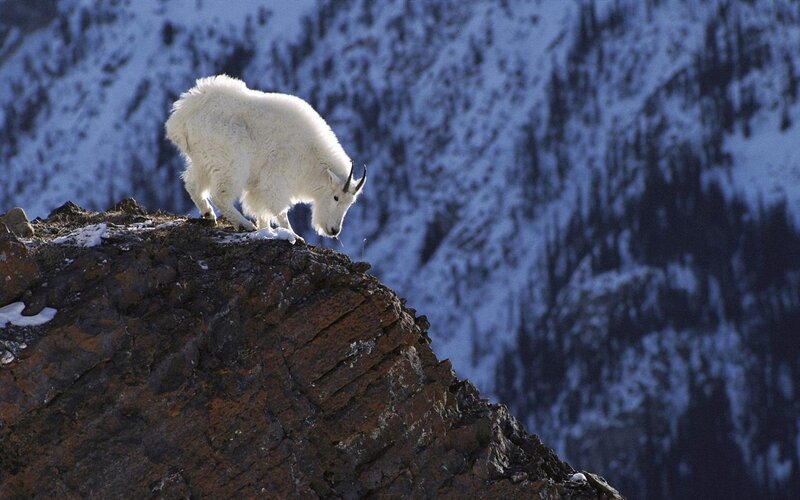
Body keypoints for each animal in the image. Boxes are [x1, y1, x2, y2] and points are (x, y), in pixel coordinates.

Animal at [165, 75, 365, 241]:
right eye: (336, 198)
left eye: (350, 203)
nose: (334, 231)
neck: (312, 156)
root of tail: (183, 115)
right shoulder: (276, 178)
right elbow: (279, 208)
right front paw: (293, 235)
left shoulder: (258, 185)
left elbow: (261, 210)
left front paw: (266, 230)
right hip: (231, 161)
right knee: (220, 194)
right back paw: (243, 224)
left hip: (203, 159)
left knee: (192, 184)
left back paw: (208, 214)